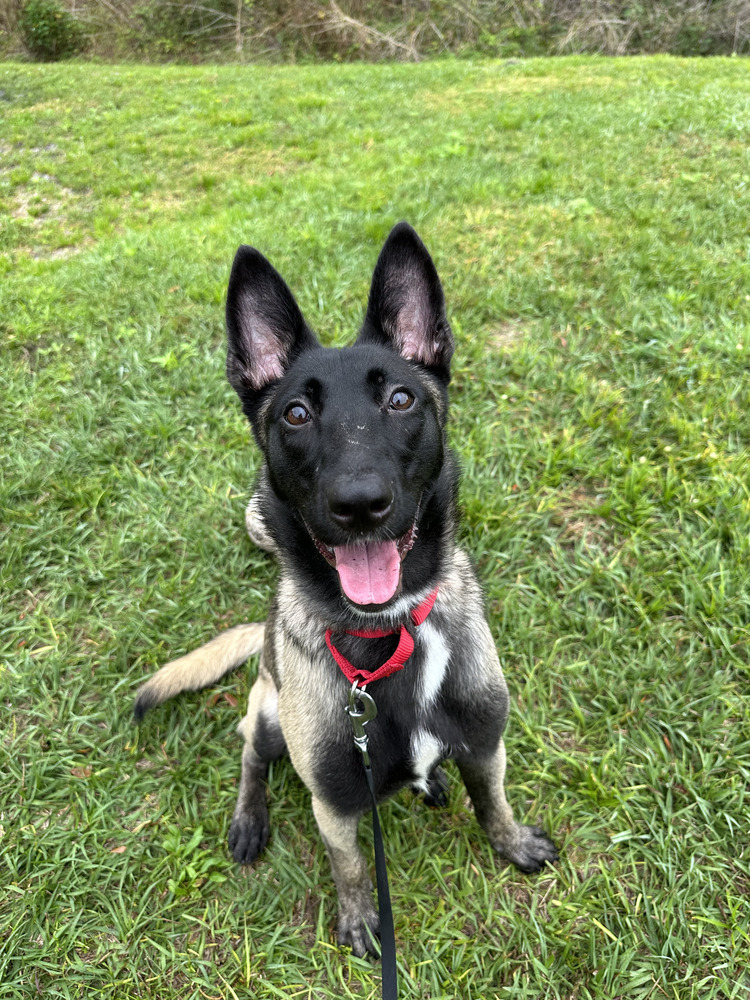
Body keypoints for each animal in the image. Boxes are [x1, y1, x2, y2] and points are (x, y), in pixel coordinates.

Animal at [135, 223, 560, 956]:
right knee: (248, 749)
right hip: (270, 717)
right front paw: (361, 917)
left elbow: (493, 803)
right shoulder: (332, 803)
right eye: (297, 413)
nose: (360, 504)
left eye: (401, 399)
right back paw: (250, 818)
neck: (392, 633)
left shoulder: (486, 746)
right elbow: (352, 864)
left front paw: (510, 843)